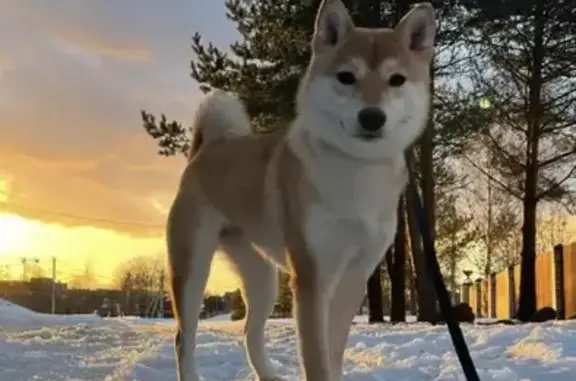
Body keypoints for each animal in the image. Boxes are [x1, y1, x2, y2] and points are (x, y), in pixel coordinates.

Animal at [166, 1, 436, 378]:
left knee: (250, 332)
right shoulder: (312, 276)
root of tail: (206, 150)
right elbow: (316, 359)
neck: (356, 169)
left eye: (396, 79)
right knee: (184, 337)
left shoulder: (355, 277)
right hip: (192, 269)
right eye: (346, 77)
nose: (372, 117)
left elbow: (333, 354)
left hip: (263, 277)